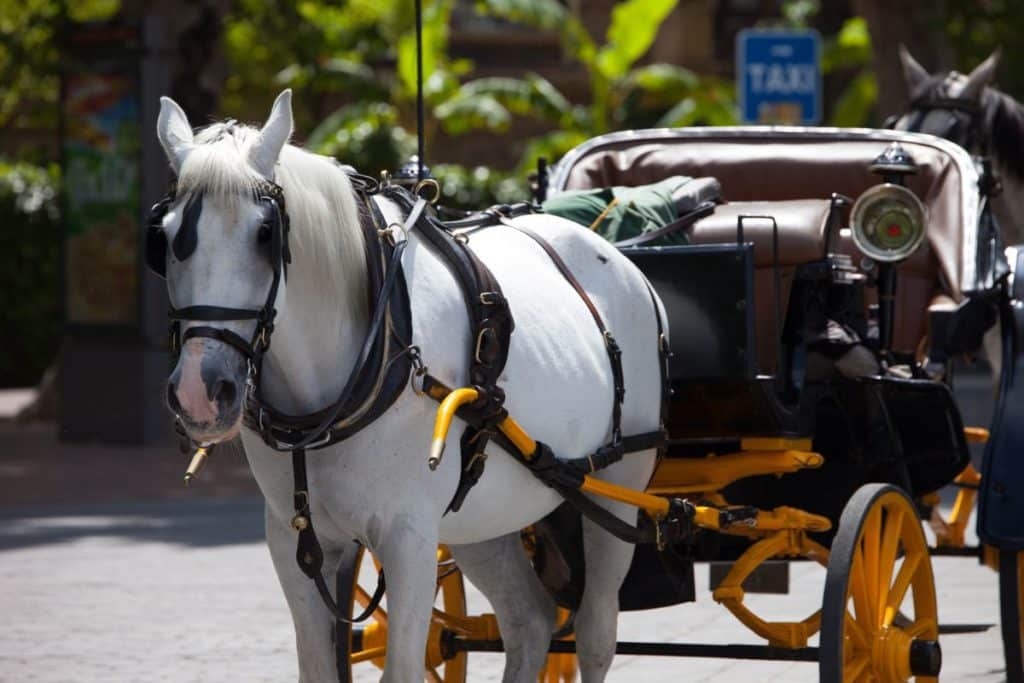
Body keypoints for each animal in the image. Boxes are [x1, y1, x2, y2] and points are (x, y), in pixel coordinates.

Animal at [152, 89, 666, 682]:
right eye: (164, 237)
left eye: (265, 234)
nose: (200, 391)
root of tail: (623, 261)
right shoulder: (292, 538)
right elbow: (318, 667)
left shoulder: (409, 538)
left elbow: (402, 667)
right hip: (484, 515)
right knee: (530, 621)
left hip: (619, 486)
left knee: (595, 635)